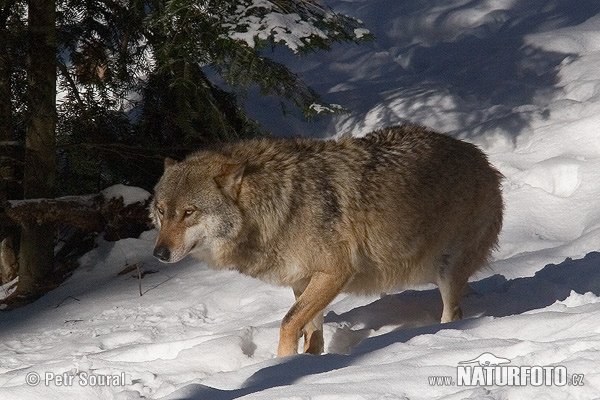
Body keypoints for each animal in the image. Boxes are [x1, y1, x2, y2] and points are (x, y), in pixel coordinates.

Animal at [149, 125, 502, 356]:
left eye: (189, 212)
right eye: (162, 211)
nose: (159, 254)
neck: (277, 205)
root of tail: (482, 157)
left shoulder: (335, 272)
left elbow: (288, 323)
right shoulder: (303, 279)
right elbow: (310, 331)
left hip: (446, 272)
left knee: (454, 313)